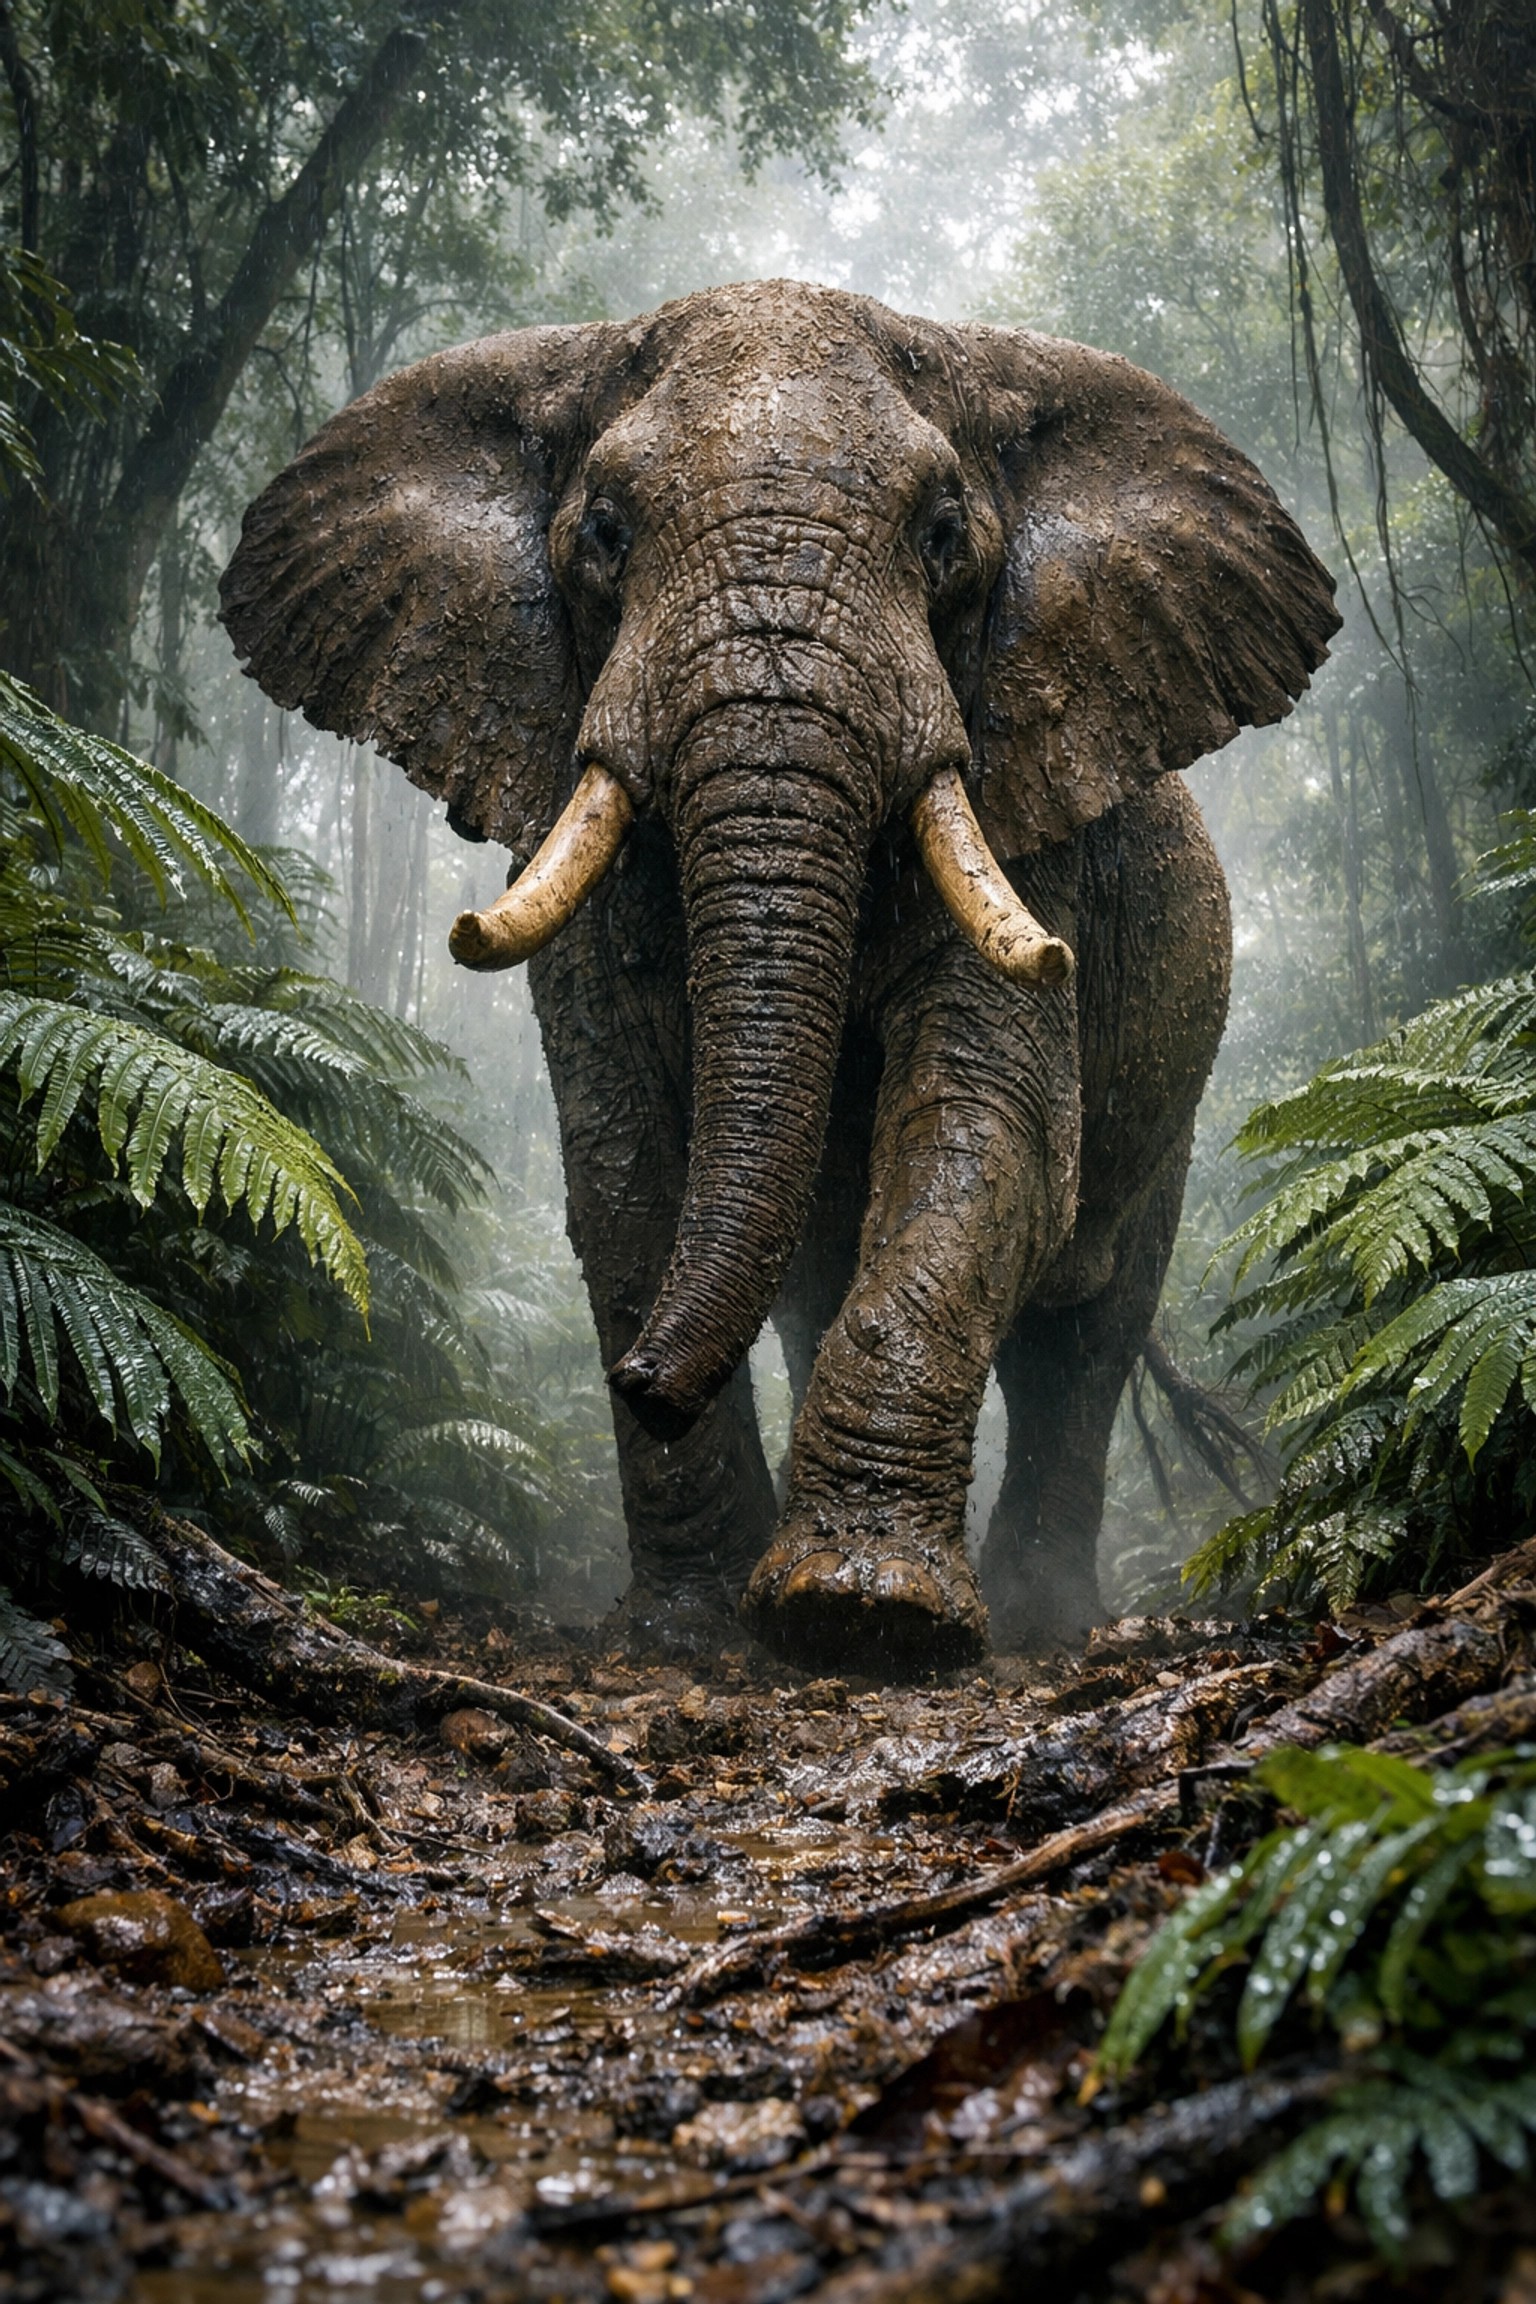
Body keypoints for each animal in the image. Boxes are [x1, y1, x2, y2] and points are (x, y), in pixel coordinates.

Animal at [220, 279, 1339, 1675]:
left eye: (943, 536)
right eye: (604, 531)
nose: (642, 1385)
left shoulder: (1045, 840)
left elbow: (992, 1133)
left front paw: (864, 1613)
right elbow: (622, 1154)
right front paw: (692, 1630)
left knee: (1086, 1336)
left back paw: (1044, 1616)